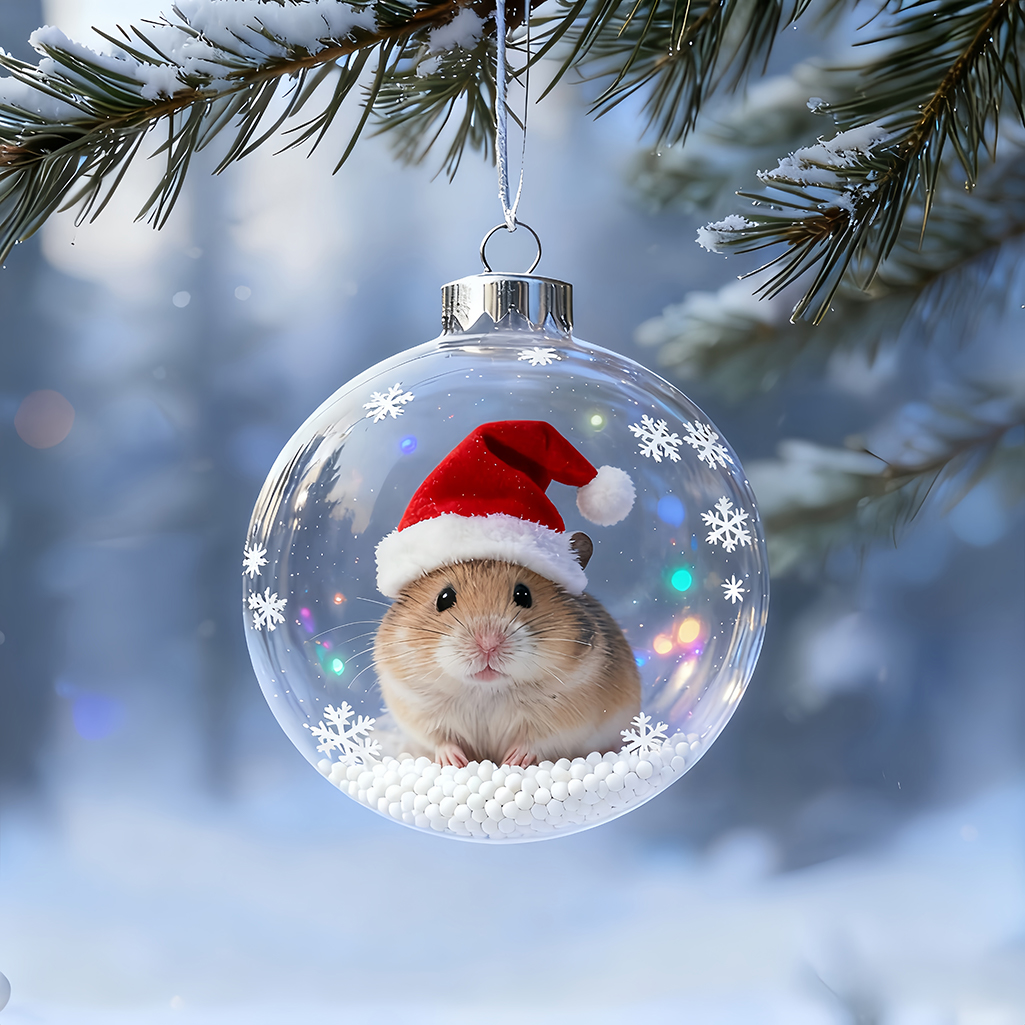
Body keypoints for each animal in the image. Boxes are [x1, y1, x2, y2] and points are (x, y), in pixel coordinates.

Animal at [373, 555, 640, 767]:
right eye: (444, 598)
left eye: (523, 595)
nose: (488, 644)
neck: (485, 691)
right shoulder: (416, 711)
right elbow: (441, 740)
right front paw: (456, 762)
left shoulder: (567, 717)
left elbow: (536, 741)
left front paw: (511, 761)